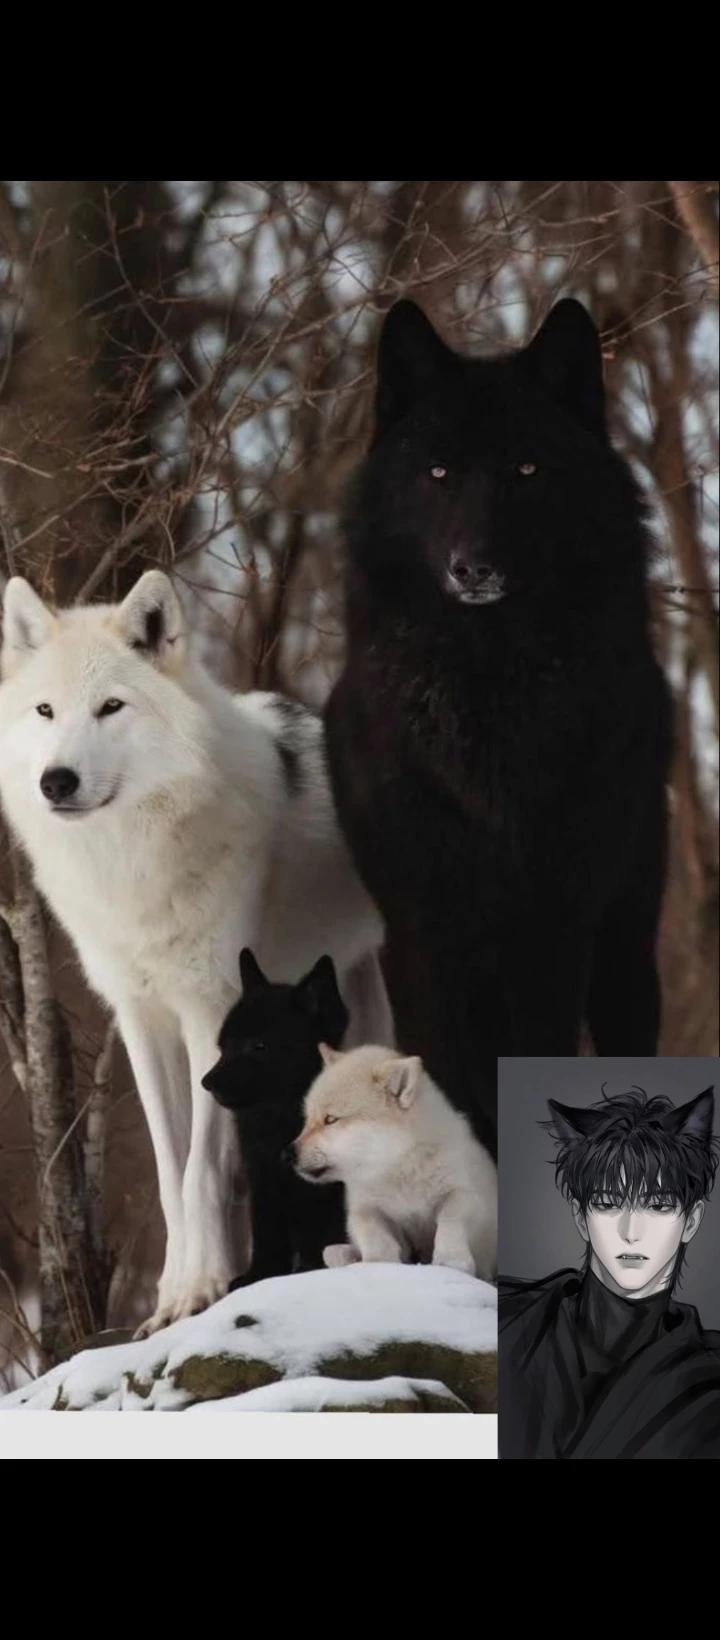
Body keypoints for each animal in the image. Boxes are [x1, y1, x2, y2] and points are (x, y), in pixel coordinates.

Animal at [201, 947, 349, 1284]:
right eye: (223, 1047)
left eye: (259, 1046)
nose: (206, 1083)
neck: (280, 1122)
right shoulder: (262, 1182)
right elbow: (267, 1234)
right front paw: (260, 1275)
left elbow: (322, 1236)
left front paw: (310, 1269)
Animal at [293, 1043, 497, 1281]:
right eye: (308, 1120)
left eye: (330, 1119)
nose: (288, 1153)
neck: (398, 1168)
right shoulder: (365, 1207)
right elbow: (371, 1230)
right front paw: (379, 1263)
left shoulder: (464, 1194)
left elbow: (450, 1218)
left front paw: (451, 1260)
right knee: (332, 1251)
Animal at [325, 298, 672, 1154]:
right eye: (438, 473)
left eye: (527, 471)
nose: (473, 567)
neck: (486, 703)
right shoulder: (423, 932)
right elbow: (446, 1076)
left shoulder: (554, 923)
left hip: (627, 944)